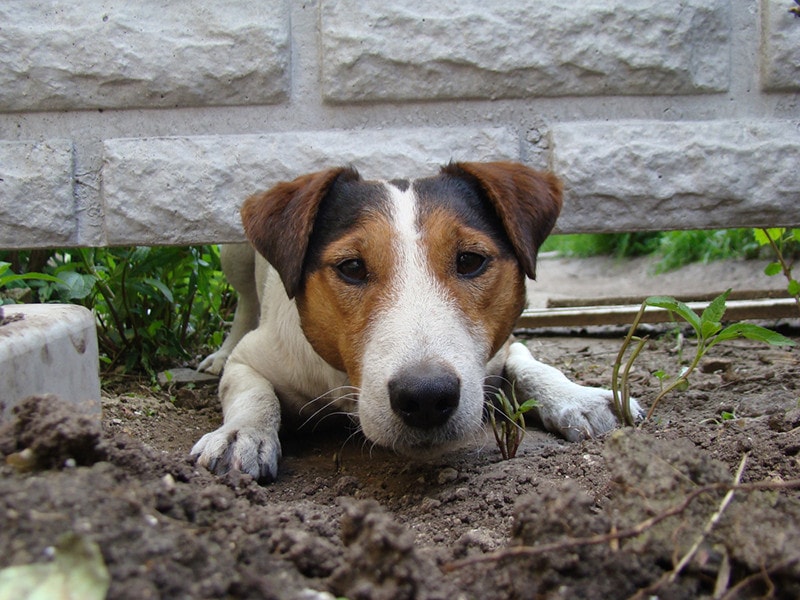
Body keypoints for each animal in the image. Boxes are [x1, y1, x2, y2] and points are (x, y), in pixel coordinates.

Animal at [191, 161, 640, 482]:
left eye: (470, 260)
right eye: (352, 267)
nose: (426, 397)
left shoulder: (503, 347)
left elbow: (530, 365)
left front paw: (577, 397)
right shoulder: (256, 359)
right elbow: (254, 392)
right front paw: (241, 435)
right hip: (234, 255)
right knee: (245, 303)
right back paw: (218, 355)